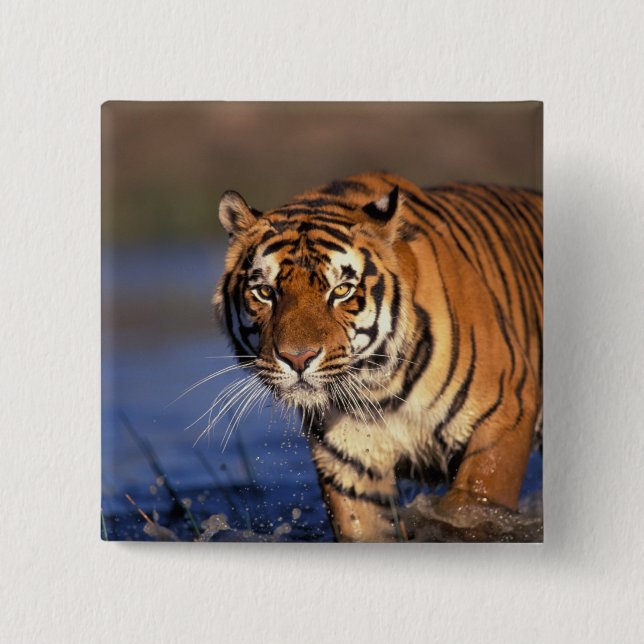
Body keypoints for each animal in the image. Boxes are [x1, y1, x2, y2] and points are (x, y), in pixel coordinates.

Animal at [213, 171, 542, 542]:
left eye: (341, 290)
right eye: (265, 292)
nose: (298, 359)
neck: (379, 389)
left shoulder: (506, 412)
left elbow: (470, 508)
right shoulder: (350, 460)